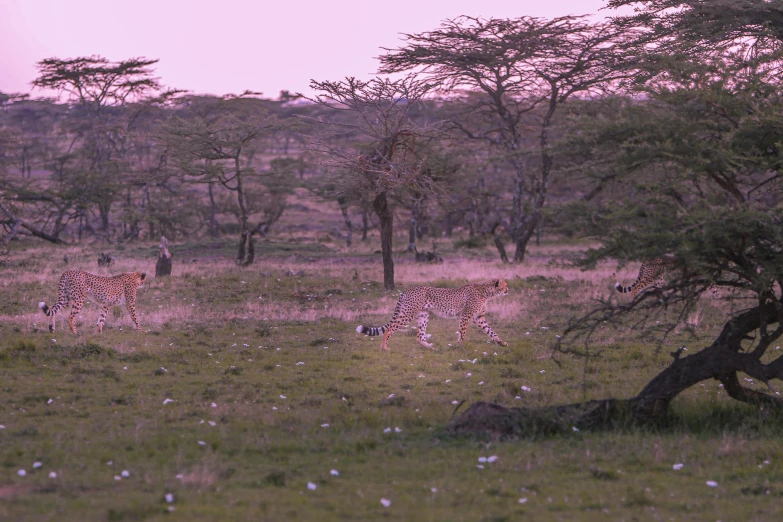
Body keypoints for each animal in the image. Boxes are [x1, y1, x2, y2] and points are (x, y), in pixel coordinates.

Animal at [356, 276, 508, 350]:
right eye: (505, 285)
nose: (508, 290)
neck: (487, 292)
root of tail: (408, 289)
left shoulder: (478, 317)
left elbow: (491, 331)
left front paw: (501, 342)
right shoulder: (466, 315)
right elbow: (463, 333)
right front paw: (460, 346)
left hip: (423, 315)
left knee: (419, 337)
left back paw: (431, 348)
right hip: (408, 313)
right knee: (389, 328)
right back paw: (384, 348)